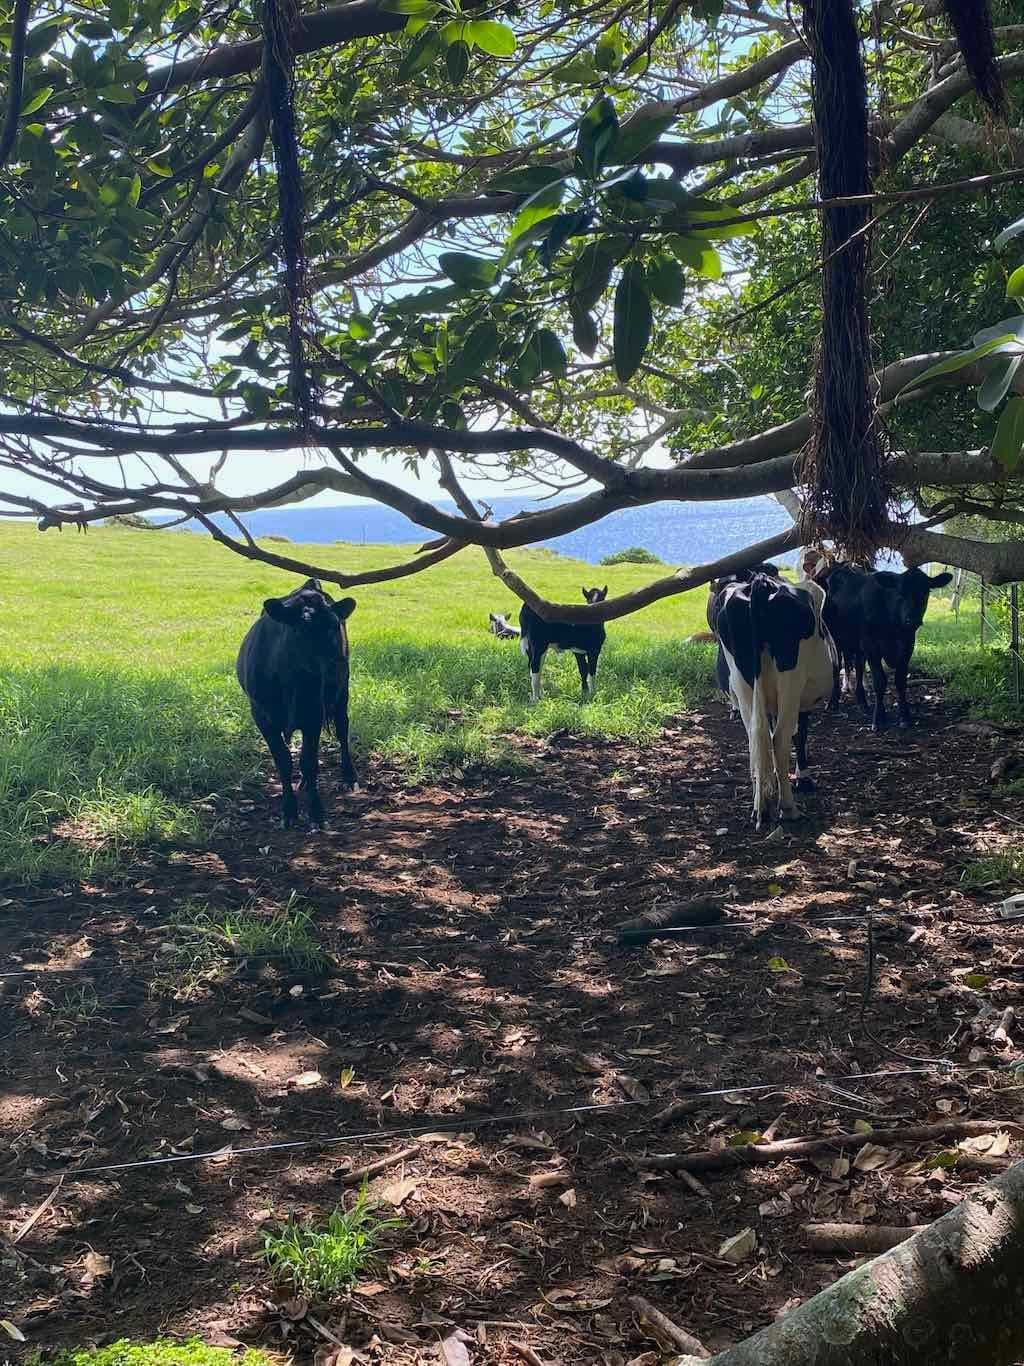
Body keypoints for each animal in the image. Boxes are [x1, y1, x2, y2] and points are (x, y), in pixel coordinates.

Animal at [237, 573, 360, 819]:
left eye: (335, 626)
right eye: (301, 629)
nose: (338, 663)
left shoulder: (314, 713)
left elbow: (309, 762)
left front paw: (316, 813)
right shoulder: (262, 716)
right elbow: (283, 761)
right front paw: (289, 811)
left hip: (341, 694)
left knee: (342, 729)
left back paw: (349, 776)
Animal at [715, 568, 841, 825]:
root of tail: (762, 583)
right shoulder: (803, 703)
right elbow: (799, 736)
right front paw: (803, 778)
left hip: (744, 683)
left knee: (758, 737)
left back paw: (760, 807)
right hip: (791, 680)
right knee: (780, 738)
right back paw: (788, 807)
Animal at [819, 562, 955, 732]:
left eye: (925, 593)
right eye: (900, 593)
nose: (912, 619)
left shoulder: (907, 647)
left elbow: (900, 681)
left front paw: (904, 716)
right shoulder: (871, 646)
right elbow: (879, 682)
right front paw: (879, 718)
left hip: (857, 646)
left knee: (858, 668)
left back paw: (862, 702)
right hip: (833, 639)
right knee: (836, 667)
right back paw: (833, 702)